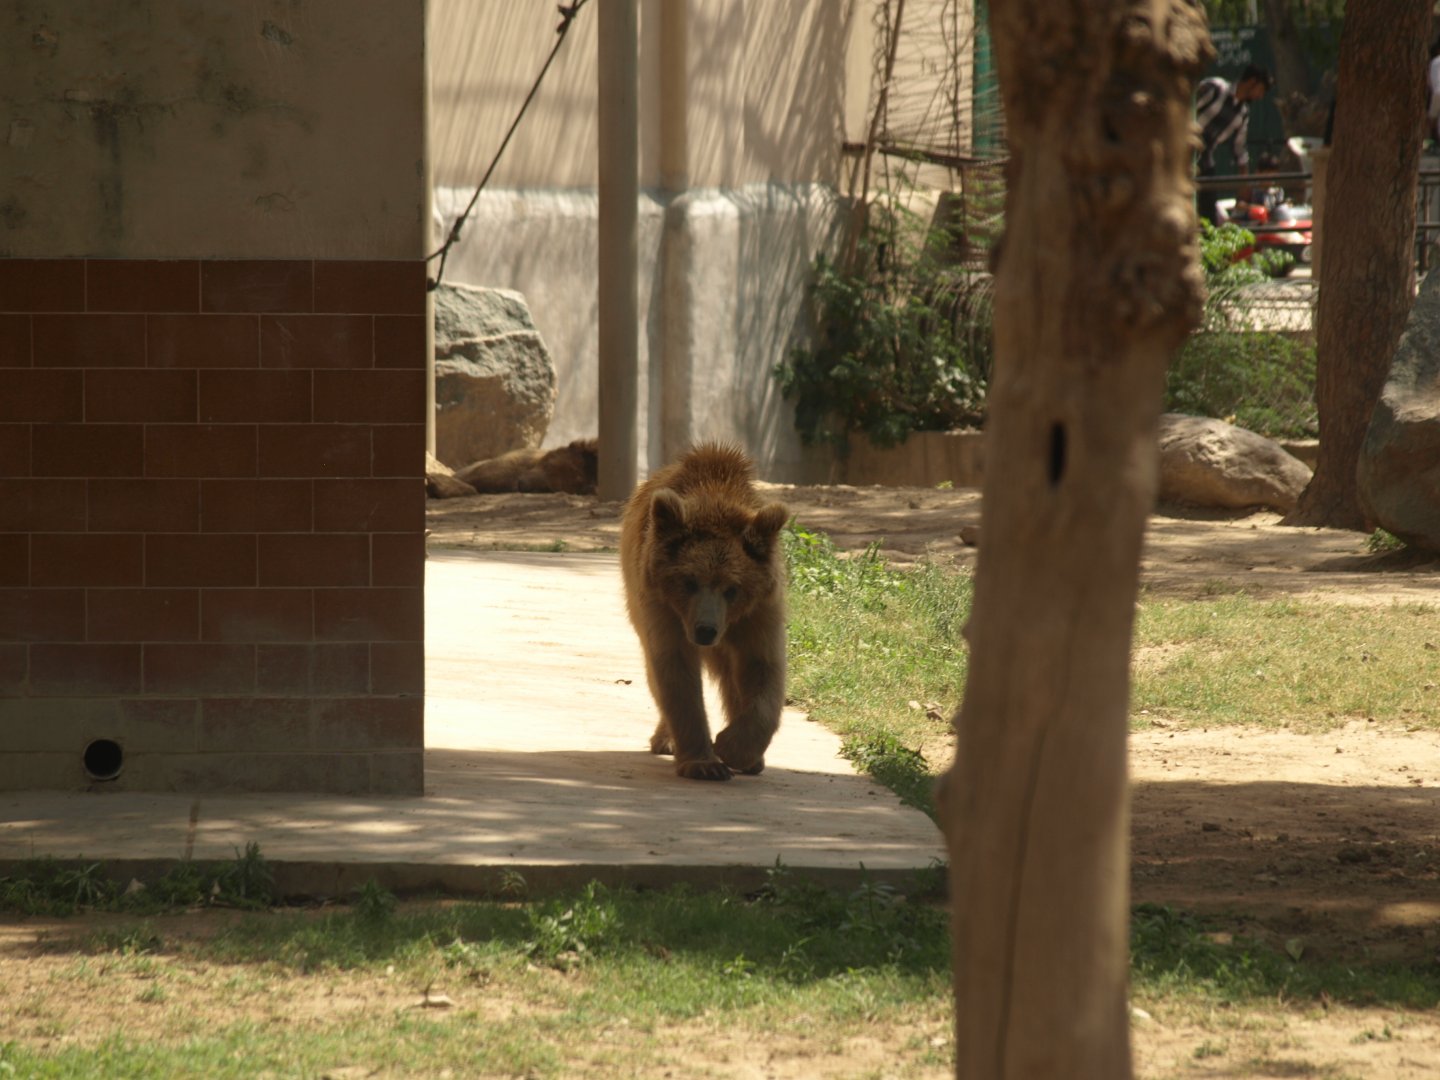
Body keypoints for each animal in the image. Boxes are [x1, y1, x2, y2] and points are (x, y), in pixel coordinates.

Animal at [619, 442, 789, 781]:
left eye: (732, 588)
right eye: (688, 581)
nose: (705, 630)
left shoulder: (759, 612)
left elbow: (764, 668)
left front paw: (734, 747)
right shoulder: (664, 609)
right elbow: (677, 674)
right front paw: (704, 762)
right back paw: (666, 739)